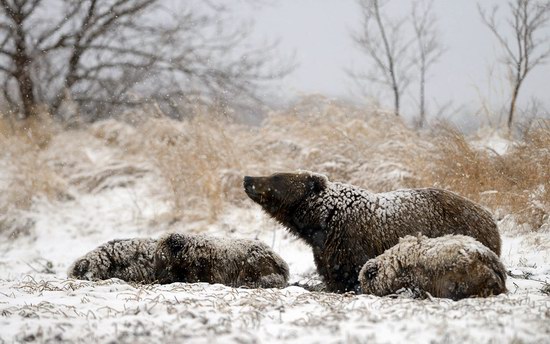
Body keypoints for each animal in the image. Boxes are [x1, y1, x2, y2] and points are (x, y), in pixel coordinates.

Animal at [246, 172, 504, 292]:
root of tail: (490, 217)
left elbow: (352, 273)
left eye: (276, 177)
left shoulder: (351, 240)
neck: (320, 222)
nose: (248, 178)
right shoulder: (325, 250)